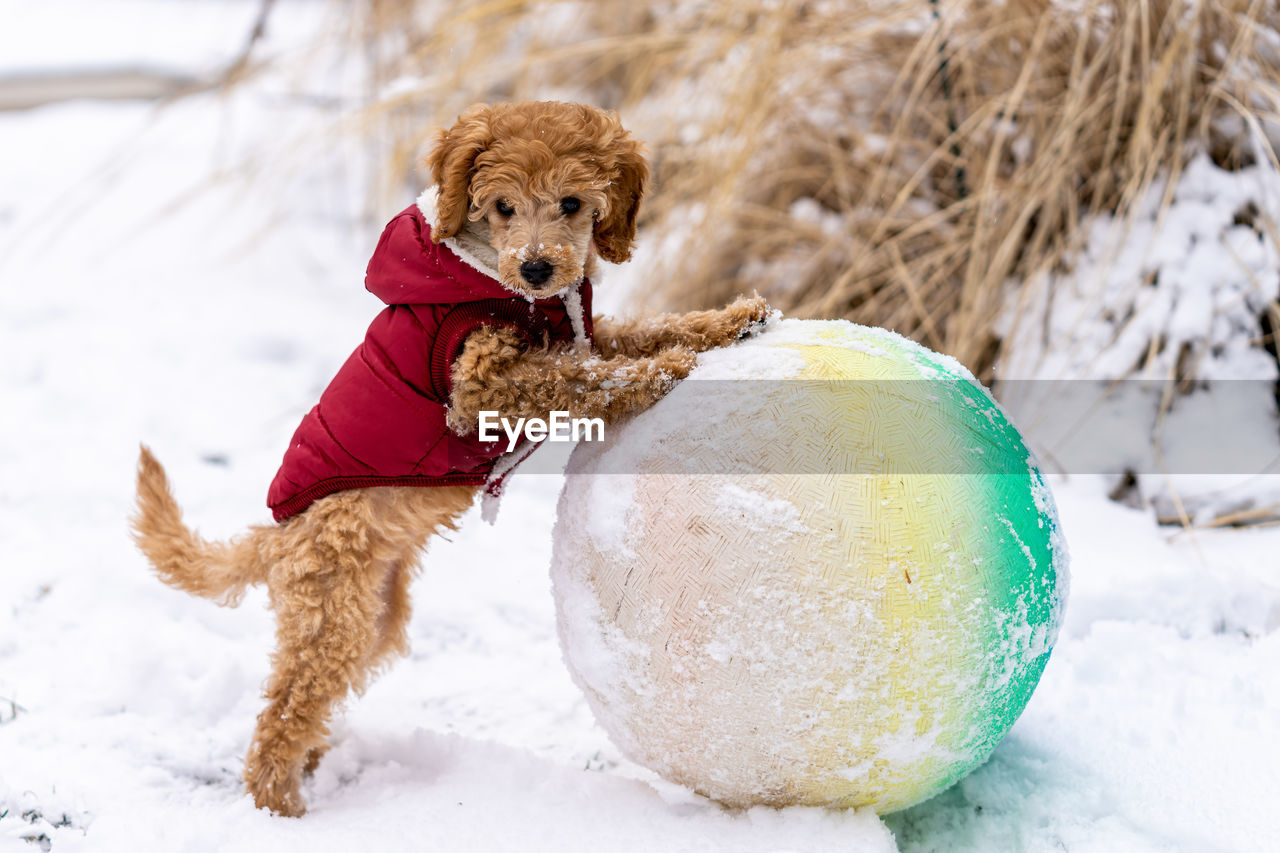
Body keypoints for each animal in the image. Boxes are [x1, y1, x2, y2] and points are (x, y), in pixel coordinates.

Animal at [131, 103, 768, 814]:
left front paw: (729, 322)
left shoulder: (583, 334)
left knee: (309, 701)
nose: (538, 269)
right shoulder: (478, 384)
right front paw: (666, 369)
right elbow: (580, 379)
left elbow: (634, 333)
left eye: (572, 203)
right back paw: (280, 805)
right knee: (284, 713)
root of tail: (276, 540)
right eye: (502, 206)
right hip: (331, 614)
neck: (498, 281)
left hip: (371, 620)